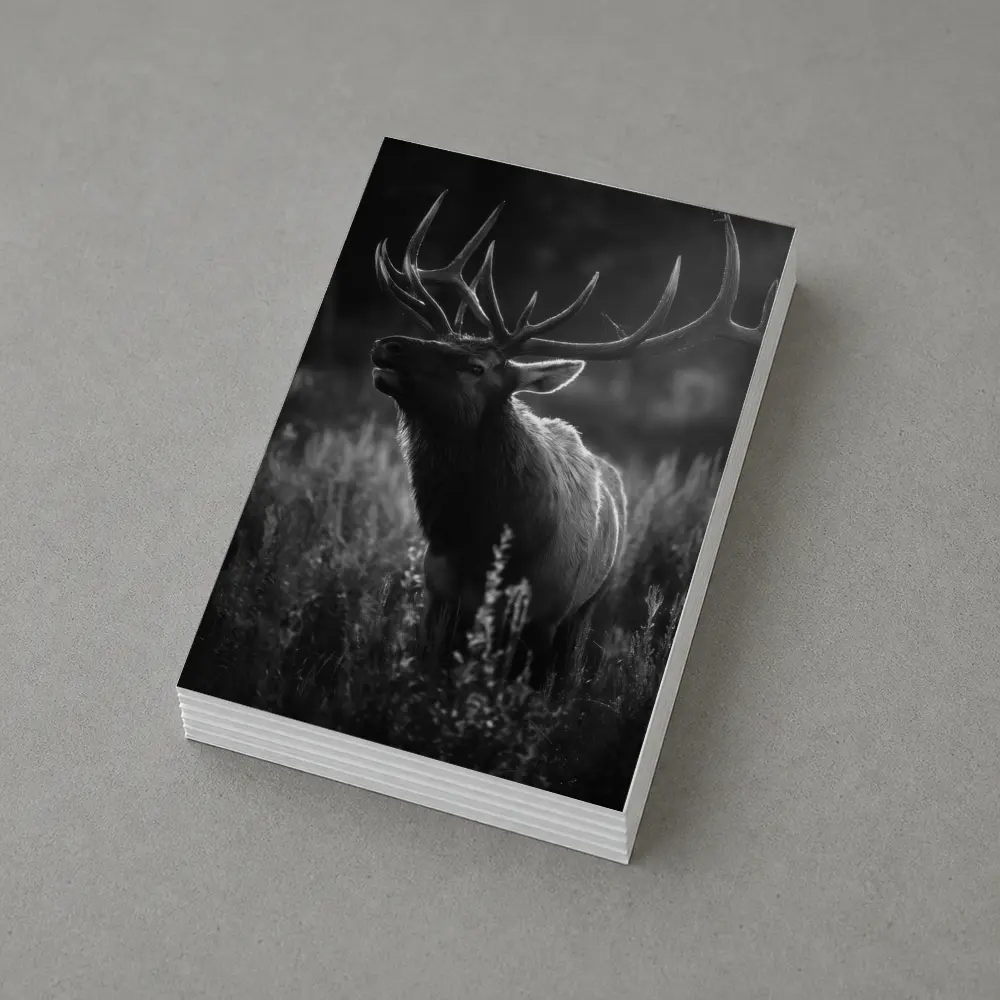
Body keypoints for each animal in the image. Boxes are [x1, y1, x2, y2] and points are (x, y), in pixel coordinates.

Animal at [370, 191, 776, 687]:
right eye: (440, 338)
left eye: (476, 367)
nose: (389, 345)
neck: (482, 546)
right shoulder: (438, 598)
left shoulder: (546, 613)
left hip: (587, 606)